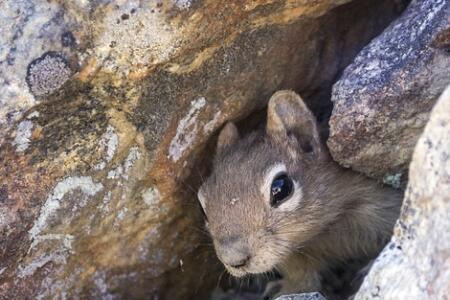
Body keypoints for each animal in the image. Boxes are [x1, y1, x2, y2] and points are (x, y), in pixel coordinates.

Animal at [197, 91, 400, 298]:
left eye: (281, 189)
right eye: (203, 208)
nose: (234, 259)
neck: (324, 230)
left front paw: (368, 270)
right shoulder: (291, 255)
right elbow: (302, 275)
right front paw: (289, 289)